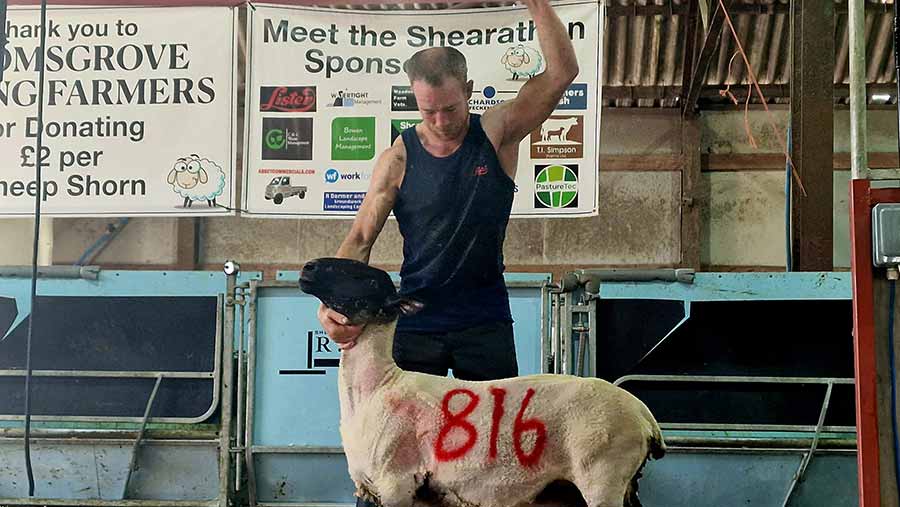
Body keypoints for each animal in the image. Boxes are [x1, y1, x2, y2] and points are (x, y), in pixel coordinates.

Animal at [298, 258, 664, 507]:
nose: (308, 268)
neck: (376, 387)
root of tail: (645, 416)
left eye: (368, 280)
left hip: (603, 473)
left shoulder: (395, 483)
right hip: (622, 483)